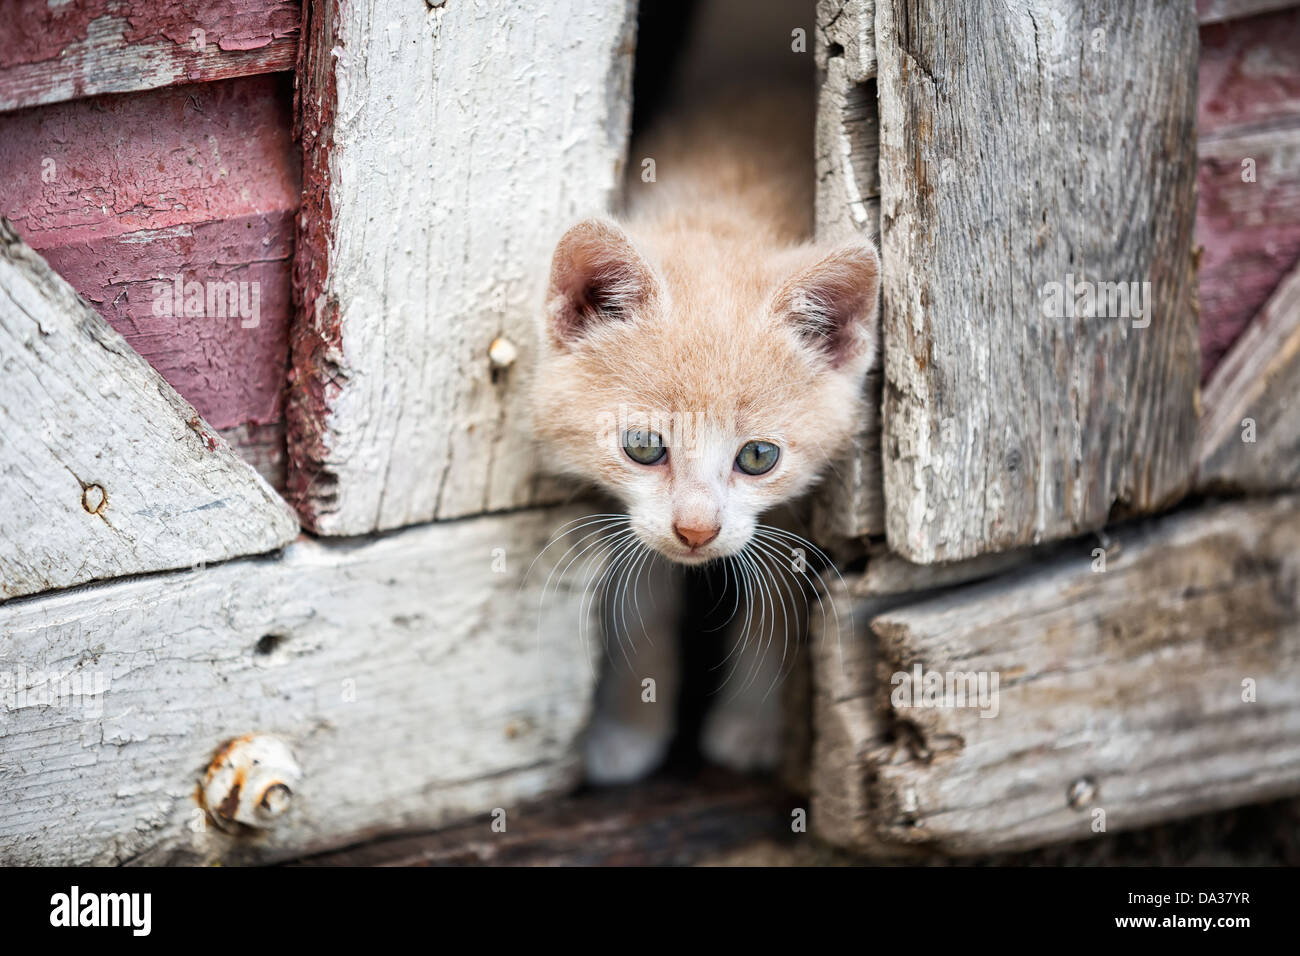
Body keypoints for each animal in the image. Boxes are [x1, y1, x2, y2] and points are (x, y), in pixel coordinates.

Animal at [533, 16, 878, 785]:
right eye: (643, 447)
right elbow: (641, 602)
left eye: (758, 457)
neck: (729, 206)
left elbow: (776, 597)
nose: (696, 531)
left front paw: (755, 723)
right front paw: (626, 727)